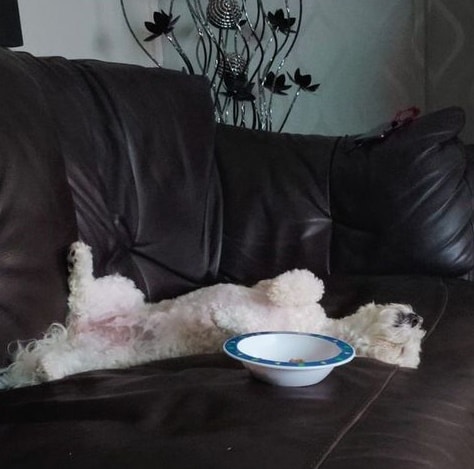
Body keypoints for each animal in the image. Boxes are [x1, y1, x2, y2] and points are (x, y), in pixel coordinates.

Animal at [0, 241, 426, 388]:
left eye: (405, 353)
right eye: (410, 341)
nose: (418, 319)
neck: (322, 328)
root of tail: (77, 332)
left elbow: (240, 325)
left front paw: (222, 317)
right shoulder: (290, 296)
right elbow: (304, 282)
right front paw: (280, 290)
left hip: (98, 354)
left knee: (73, 324)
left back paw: (48, 368)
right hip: (122, 292)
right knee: (81, 288)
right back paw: (78, 255)